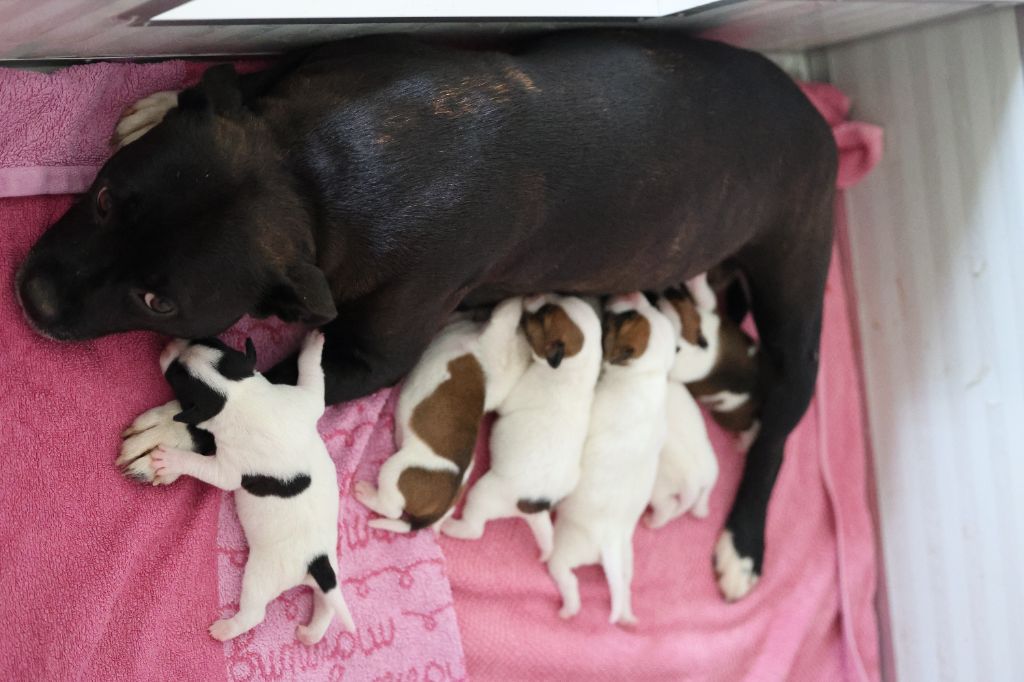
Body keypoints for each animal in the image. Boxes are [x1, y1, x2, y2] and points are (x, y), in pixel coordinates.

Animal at [151, 333, 356, 643]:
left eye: (175, 375)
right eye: (209, 340)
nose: (169, 344)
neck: (239, 395)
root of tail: (315, 561)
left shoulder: (228, 468)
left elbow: (206, 469)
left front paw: (172, 460)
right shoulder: (302, 401)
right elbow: (313, 381)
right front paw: (312, 346)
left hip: (262, 576)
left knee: (255, 612)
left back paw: (227, 628)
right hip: (330, 570)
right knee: (327, 603)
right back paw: (310, 633)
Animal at [354, 296, 528, 532]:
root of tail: (437, 510)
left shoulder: (497, 336)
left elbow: (507, 313)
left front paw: (520, 301)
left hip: (396, 470)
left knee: (393, 509)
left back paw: (366, 493)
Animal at [438, 292, 598, 557]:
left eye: (543, 315)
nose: (534, 293)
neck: (577, 367)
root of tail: (533, 508)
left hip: (485, 493)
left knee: (475, 528)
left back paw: (453, 527)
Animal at [548, 292, 675, 622]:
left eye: (623, 319)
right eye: (646, 308)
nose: (634, 293)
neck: (647, 374)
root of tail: (609, 541)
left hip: (566, 546)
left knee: (564, 573)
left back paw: (569, 608)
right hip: (626, 558)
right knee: (624, 587)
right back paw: (626, 616)